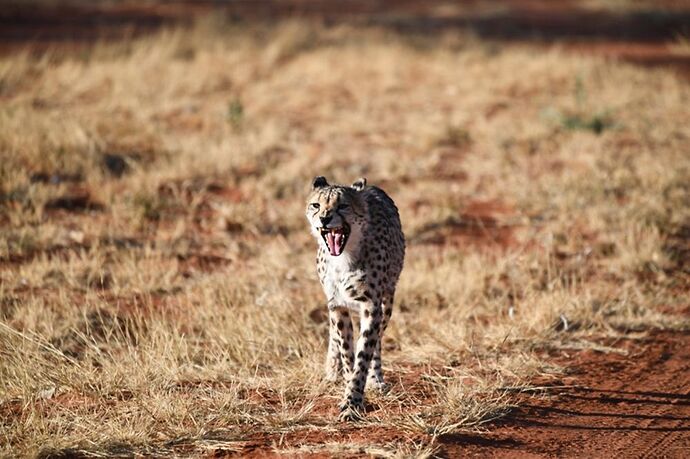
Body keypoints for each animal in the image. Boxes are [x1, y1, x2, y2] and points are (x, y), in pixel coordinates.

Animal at [306, 178, 406, 422]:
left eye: (343, 206)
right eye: (316, 205)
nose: (324, 218)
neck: (344, 258)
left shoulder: (372, 305)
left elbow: (365, 352)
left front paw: (353, 402)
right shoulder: (337, 305)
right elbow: (346, 350)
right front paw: (346, 381)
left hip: (387, 300)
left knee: (378, 342)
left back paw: (376, 380)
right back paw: (332, 371)